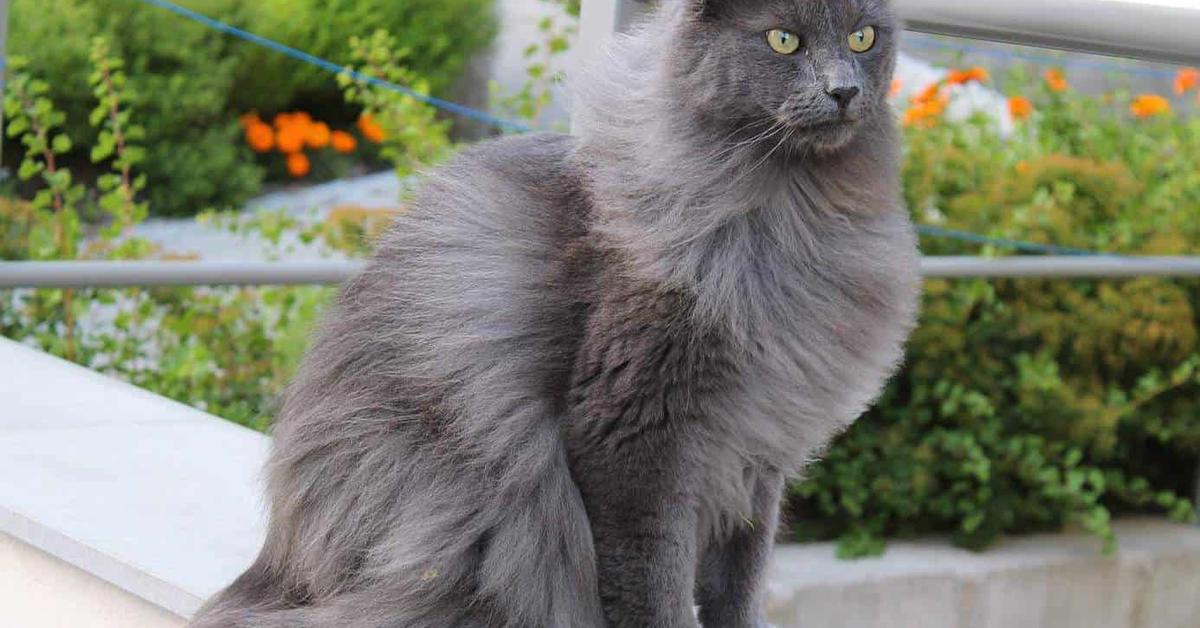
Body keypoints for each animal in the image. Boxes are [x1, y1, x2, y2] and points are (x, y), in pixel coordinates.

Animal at [189, 1, 916, 628]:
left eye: (863, 38)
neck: (795, 213)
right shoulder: (636, 441)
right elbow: (655, 586)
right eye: (783, 40)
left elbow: (737, 585)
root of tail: (275, 561)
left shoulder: (759, 447)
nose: (844, 90)